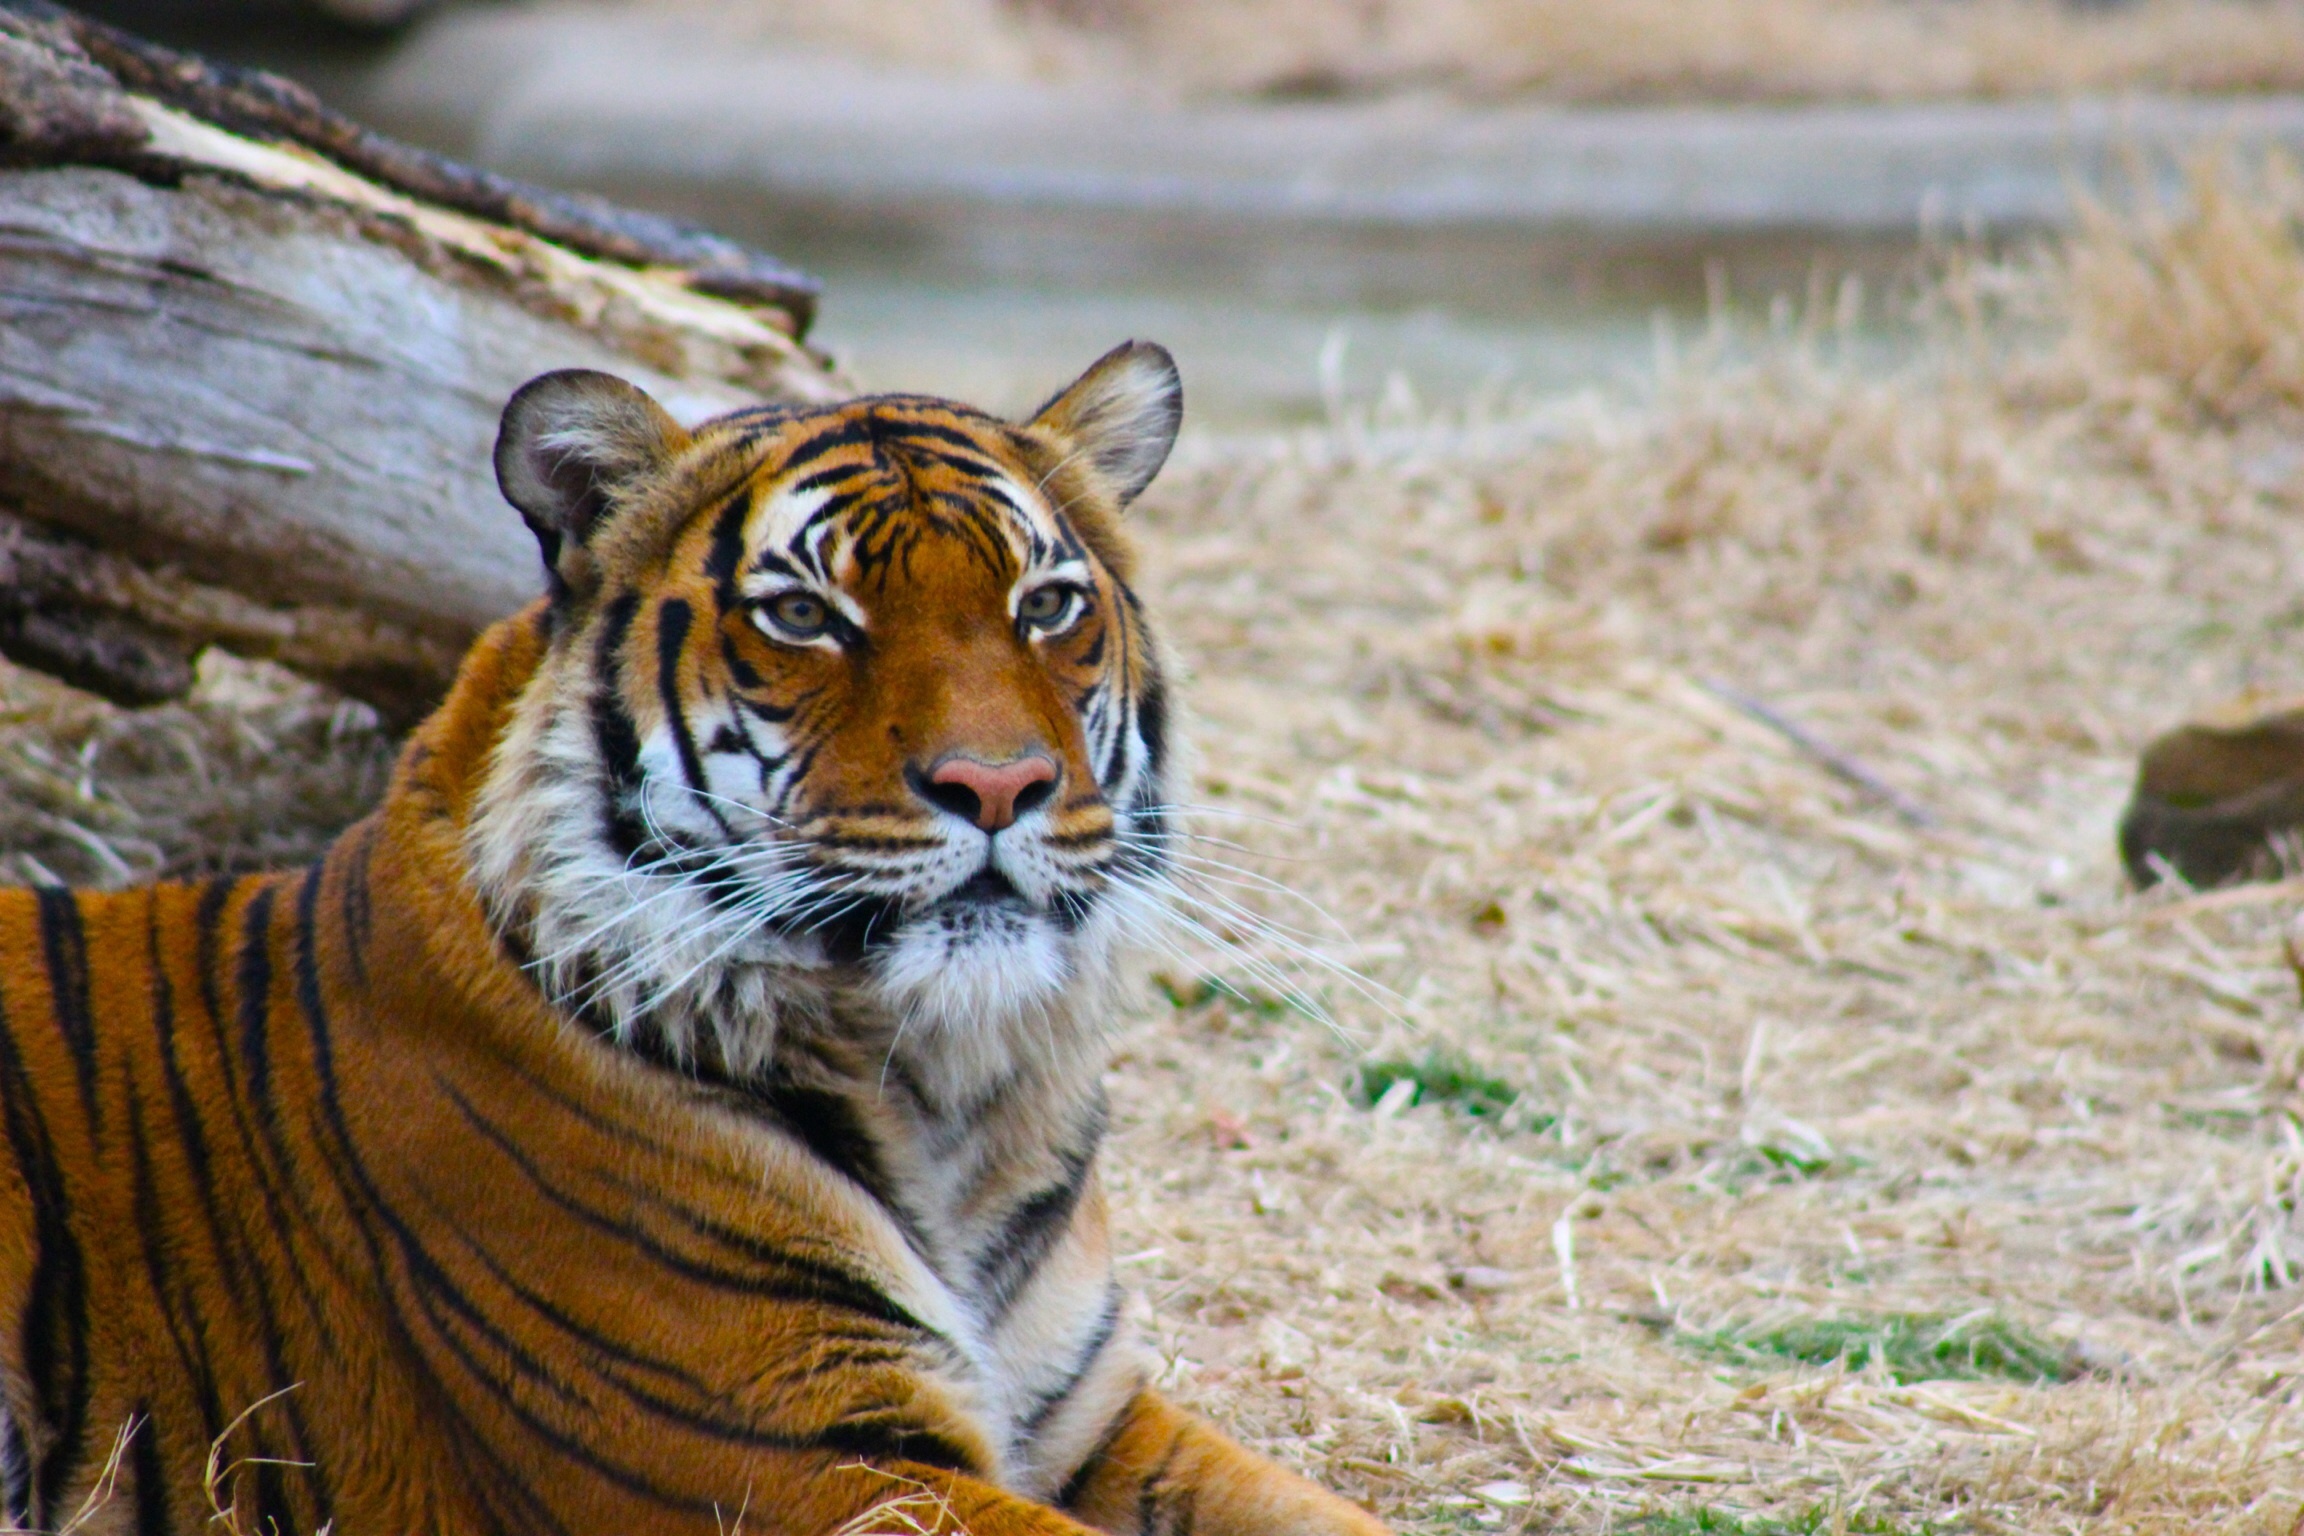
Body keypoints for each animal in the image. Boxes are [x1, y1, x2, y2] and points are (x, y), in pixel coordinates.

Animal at [0, 345, 1391, 1536]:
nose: (998, 786)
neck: (951, 1099)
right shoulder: (802, 1463)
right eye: (808, 617)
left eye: (1045, 604)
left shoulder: (1091, 1423)